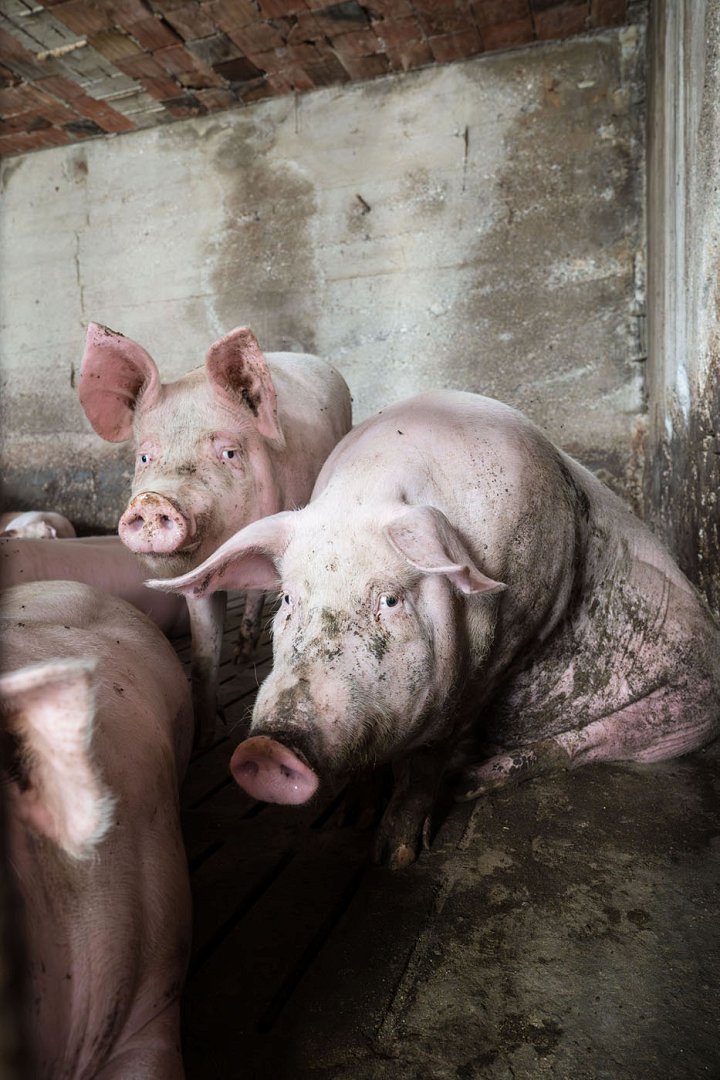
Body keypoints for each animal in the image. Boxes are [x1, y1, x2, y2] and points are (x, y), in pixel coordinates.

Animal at [79, 322, 352, 745]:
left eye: (228, 453)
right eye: (144, 457)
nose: (153, 500)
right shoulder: (193, 585)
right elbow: (204, 656)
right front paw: (206, 736)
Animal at [149, 390, 720, 868]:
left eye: (390, 599)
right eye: (289, 598)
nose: (268, 750)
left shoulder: (502, 651)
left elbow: (430, 755)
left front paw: (393, 858)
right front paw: (352, 819)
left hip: (683, 716)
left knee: (572, 746)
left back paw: (471, 782)